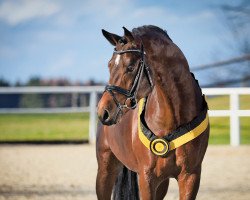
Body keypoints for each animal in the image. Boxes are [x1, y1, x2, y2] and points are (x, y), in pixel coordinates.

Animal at [95, 25, 209, 199]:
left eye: (130, 67)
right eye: (109, 65)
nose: (103, 112)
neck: (172, 121)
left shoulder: (190, 176)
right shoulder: (147, 177)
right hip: (105, 170)